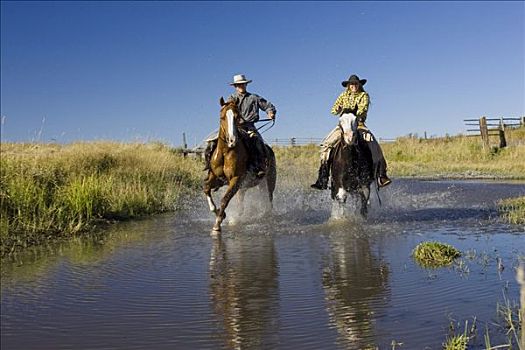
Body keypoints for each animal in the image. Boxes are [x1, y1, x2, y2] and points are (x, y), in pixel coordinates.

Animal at [203, 97, 276, 232]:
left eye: (237, 117)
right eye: (222, 117)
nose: (232, 140)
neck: (226, 152)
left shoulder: (236, 179)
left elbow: (224, 200)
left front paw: (217, 224)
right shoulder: (216, 178)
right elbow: (206, 188)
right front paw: (220, 213)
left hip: (269, 181)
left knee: (269, 200)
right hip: (247, 186)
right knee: (241, 205)